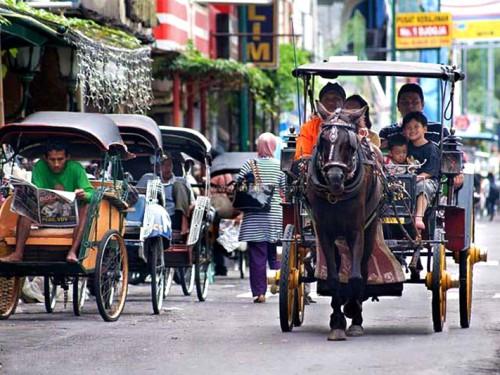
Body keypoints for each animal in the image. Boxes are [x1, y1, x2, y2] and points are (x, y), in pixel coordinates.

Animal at [304, 104, 382, 342]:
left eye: (350, 144)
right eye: (322, 141)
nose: (335, 178)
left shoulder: (357, 229)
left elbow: (356, 276)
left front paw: (352, 310)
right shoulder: (324, 231)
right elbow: (333, 278)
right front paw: (337, 322)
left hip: (370, 225)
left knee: (363, 267)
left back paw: (356, 314)